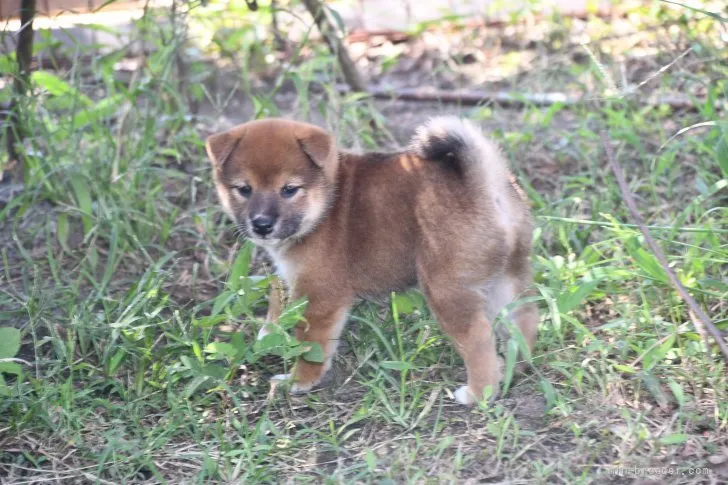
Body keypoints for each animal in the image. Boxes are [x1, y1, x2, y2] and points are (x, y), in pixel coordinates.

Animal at [205, 115, 536, 402]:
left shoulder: (321, 296)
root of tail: (484, 185)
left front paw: (298, 382)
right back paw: (517, 364)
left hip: (447, 289)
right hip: (507, 278)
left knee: (478, 336)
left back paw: (479, 394)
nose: (262, 224)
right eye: (244, 189)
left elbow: (311, 348)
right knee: (524, 319)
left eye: (289, 189)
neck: (328, 201)